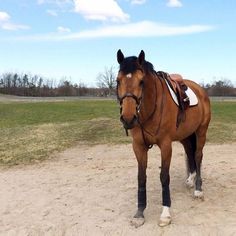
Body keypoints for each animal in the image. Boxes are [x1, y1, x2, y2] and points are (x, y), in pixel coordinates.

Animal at [116, 49, 210, 227]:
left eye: (141, 81)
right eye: (118, 80)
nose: (128, 118)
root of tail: (201, 91)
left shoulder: (166, 145)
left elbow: (164, 177)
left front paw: (165, 213)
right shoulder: (138, 146)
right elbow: (141, 177)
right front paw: (139, 213)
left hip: (201, 132)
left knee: (198, 156)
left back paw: (198, 189)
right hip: (185, 136)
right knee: (190, 153)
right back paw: (190, 179)